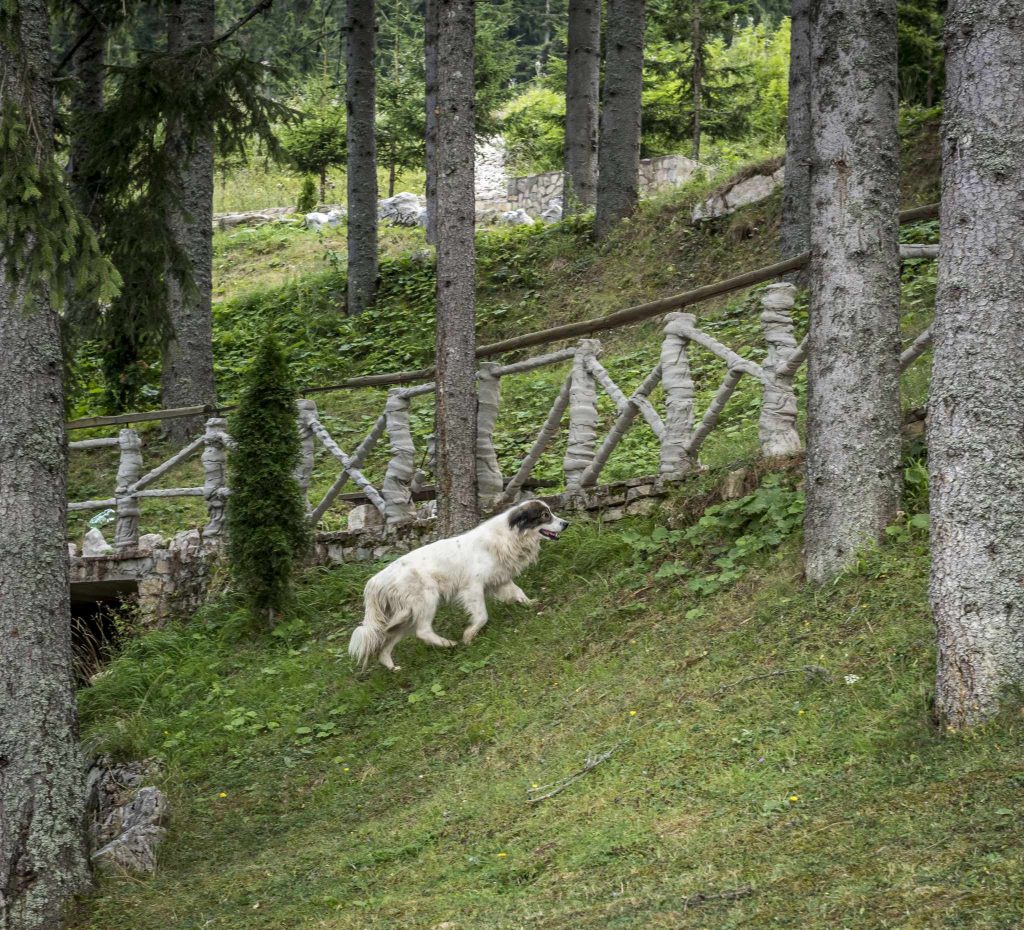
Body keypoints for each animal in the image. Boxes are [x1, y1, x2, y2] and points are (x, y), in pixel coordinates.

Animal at [346, 501, 569, 667]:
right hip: (426, 599)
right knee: (423, 631)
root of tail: (376, 580)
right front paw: (469, 636)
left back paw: (392, 667)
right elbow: (482, 616)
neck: (509, 535)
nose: (566, 523)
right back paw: (448, 644)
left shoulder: (501, 580)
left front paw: (532, 604)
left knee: (386, 642)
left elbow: (518, 592)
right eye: (545, 515)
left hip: (404, 616)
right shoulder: (473, 587)